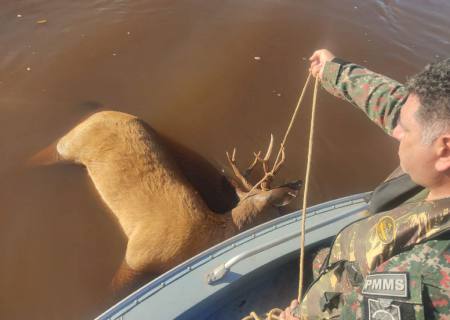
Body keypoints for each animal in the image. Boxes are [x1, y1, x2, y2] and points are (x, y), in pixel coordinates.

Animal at [33, 111, 300, 296]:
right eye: (280, 208)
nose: (296, 209)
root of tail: (98, 113)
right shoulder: (137, 254)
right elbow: (114, 289)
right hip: (68, 145)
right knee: (41, 155)